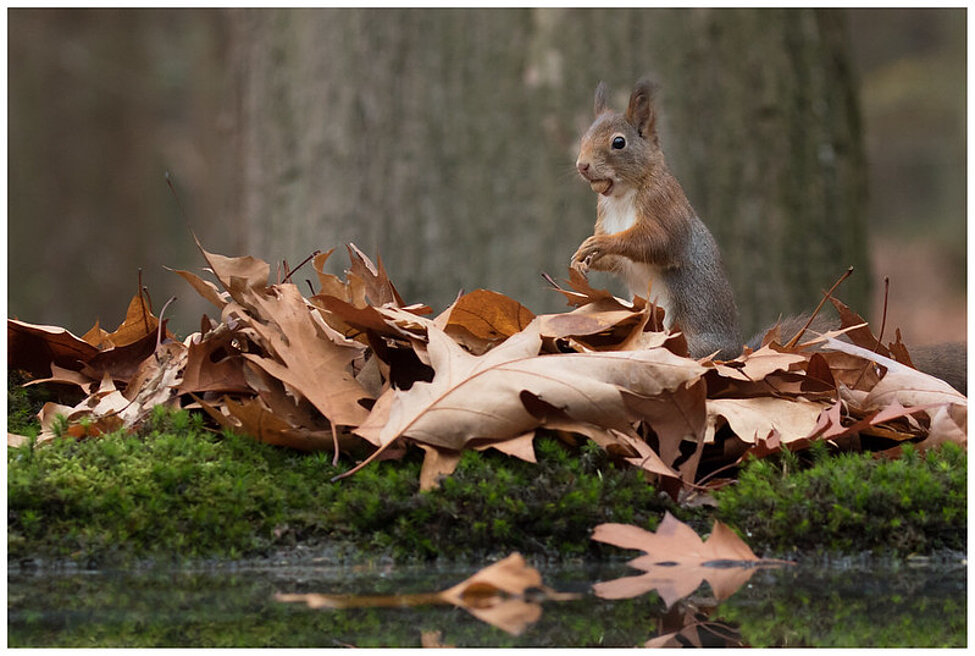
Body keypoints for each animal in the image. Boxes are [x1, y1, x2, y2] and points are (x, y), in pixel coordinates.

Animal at [572, 77, 968, 394]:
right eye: (584, 136)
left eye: (619, 143)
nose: (582, 166)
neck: (622, 195)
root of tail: (734, 355)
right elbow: (618, 261)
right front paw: (584, 256)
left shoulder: (665, 213)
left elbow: (654, 243)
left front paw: (600, 244)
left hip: (687, 340)